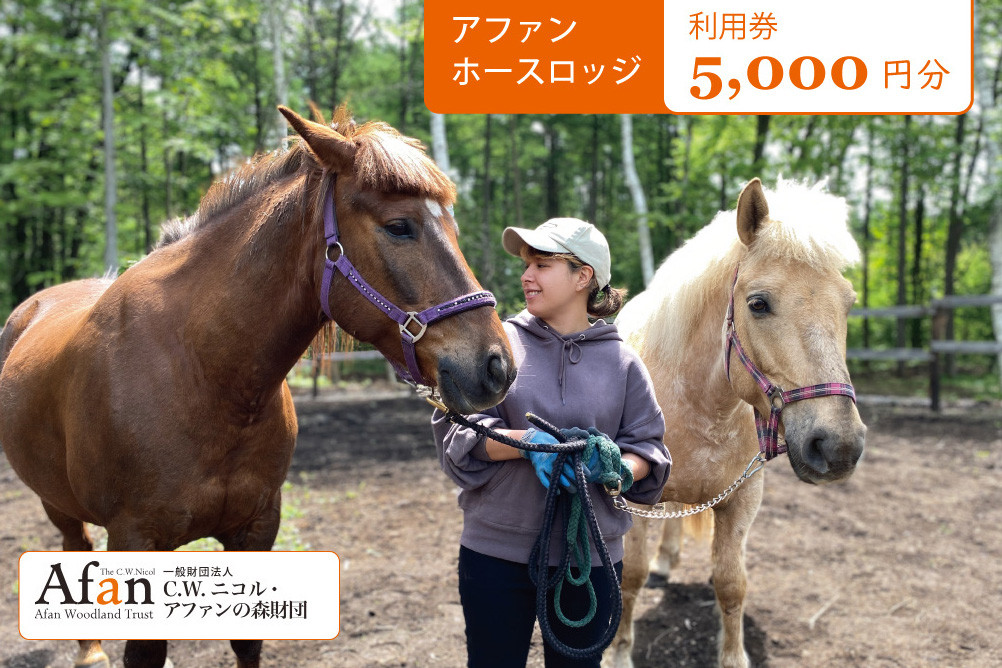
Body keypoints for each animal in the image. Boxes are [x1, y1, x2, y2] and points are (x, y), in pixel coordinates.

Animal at [0, 105, 515, 668]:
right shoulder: (137, 536)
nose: (497, 365)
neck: (206, 375)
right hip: (56, 501)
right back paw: (91, 651)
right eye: (399, 227)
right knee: (75, 547)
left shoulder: (259, 524)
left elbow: (247, 641)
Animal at [605, 178, 867, 668]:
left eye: (849, 304)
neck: (700, 406)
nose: (839, 446)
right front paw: (618, 652)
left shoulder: (743, 498)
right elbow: (630, 574)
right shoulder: (634, 500)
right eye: (758, 304)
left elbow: (732, 583)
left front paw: (733, 656)